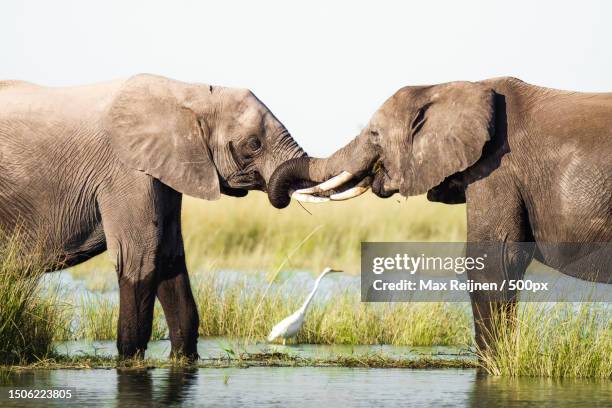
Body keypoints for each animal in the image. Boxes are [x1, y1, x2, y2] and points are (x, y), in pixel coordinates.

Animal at [0, 73, 306, 356]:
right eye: (253, 144)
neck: (187, 93)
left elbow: (170, 257)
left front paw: (183, 358)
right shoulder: (126, 171)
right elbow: (140, 256)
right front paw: (130, 358)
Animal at [270, 77, 612, 350]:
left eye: (375, 135)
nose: (282, 199)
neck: (449, 88)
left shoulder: (498, 168)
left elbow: (494, 261)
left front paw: (495, 365)